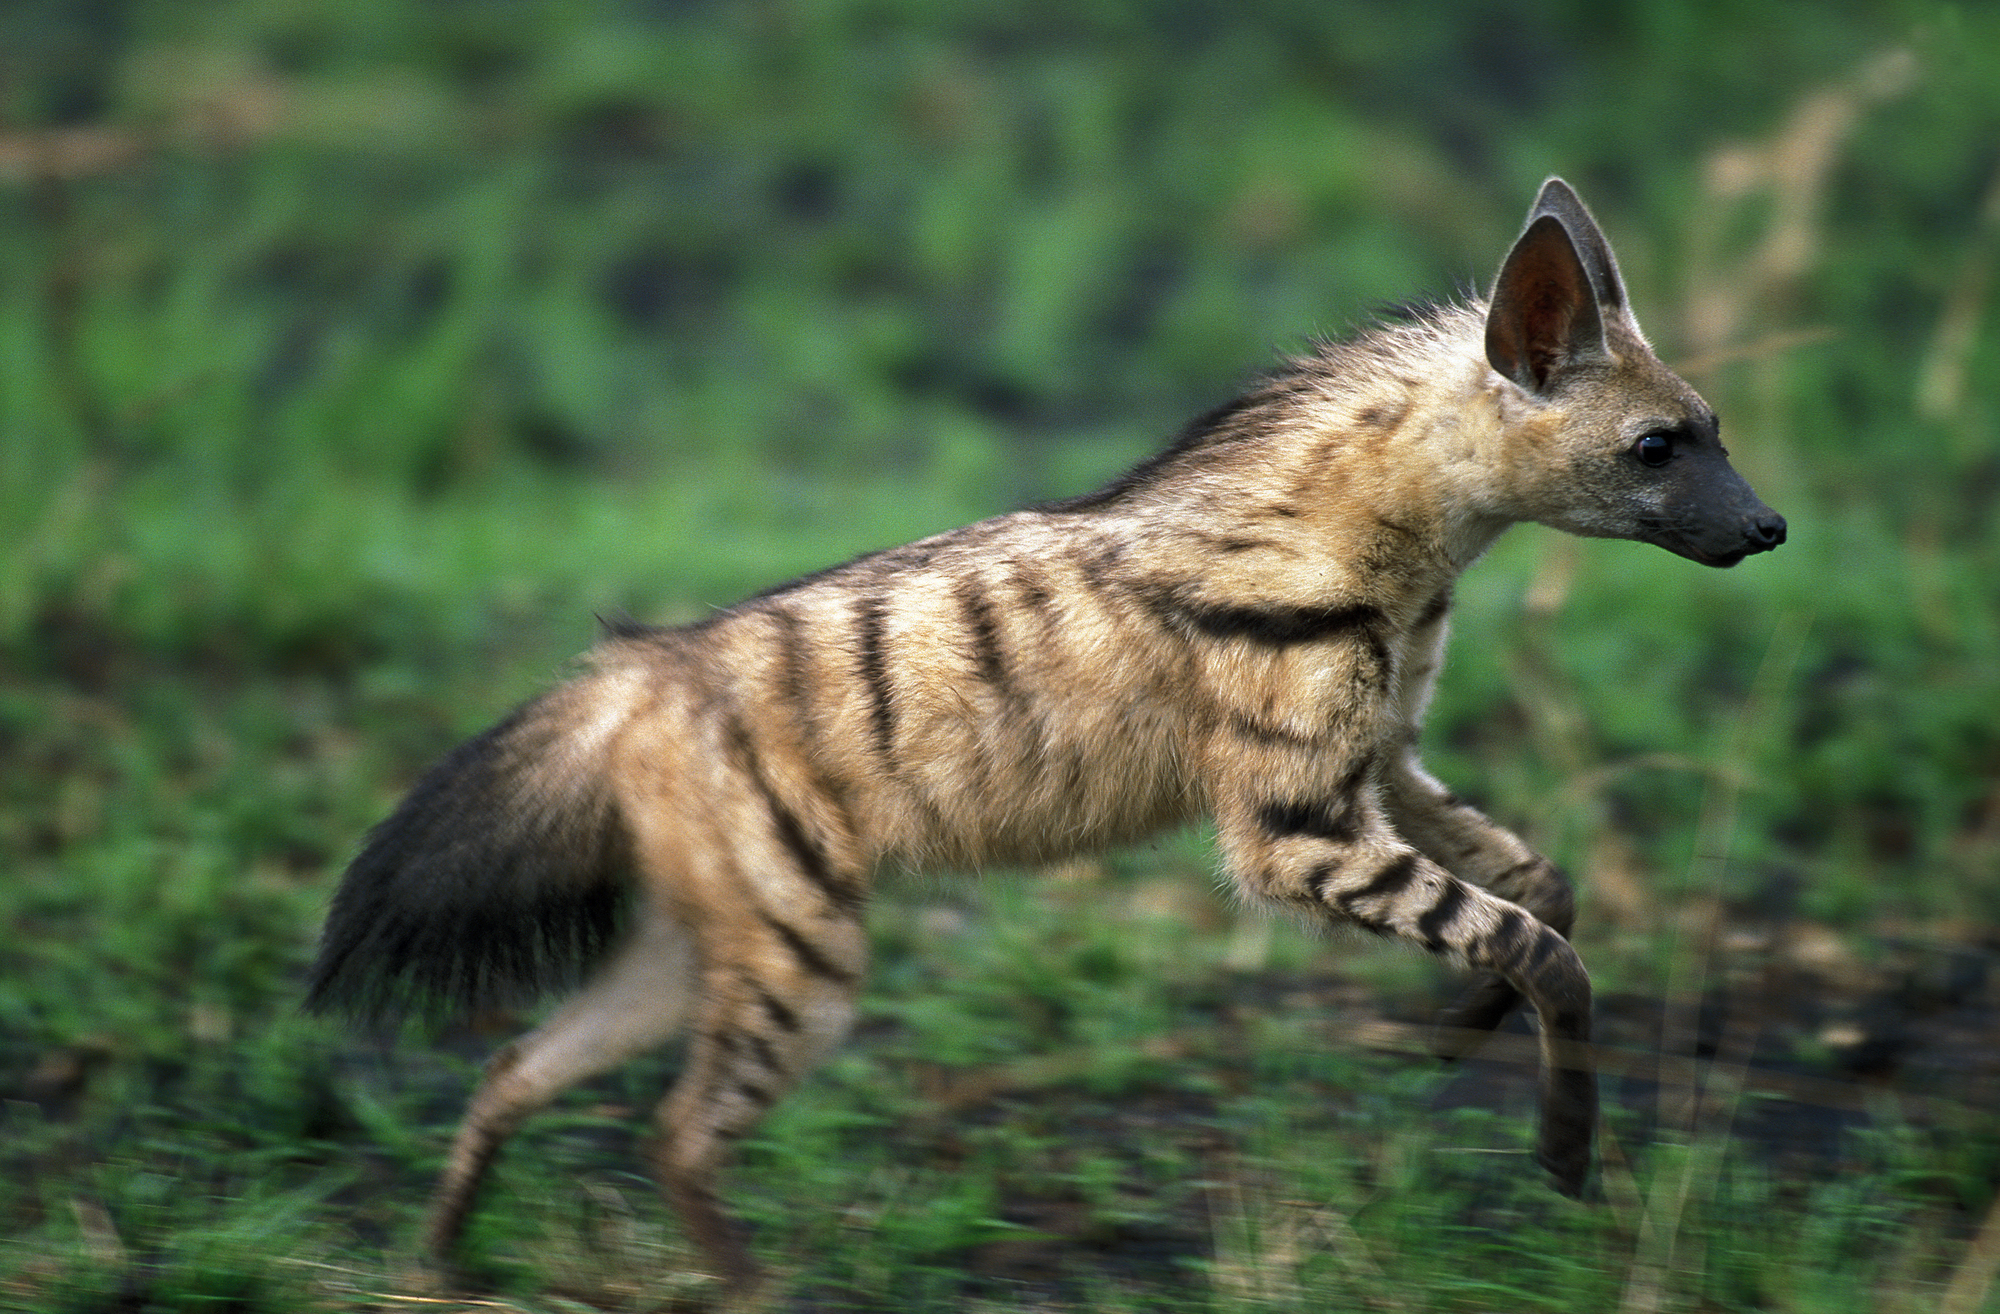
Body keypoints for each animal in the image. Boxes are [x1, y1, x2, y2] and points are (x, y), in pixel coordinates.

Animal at [308, 178, 1785, 1294]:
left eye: (1715, 429)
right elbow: (1535, 939)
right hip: (799, 944)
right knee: (672, 1134)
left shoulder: (1382, 757)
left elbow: (1543, 882)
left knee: (518, 1064)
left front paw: (1461, 1031)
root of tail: (634, 680)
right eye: (1656, 447)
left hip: (707, 927)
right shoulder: (1292, 828)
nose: (1771, 528)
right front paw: (1562, 1154)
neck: (1408, 562)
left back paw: (436, 1262)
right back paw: (740, 1286)